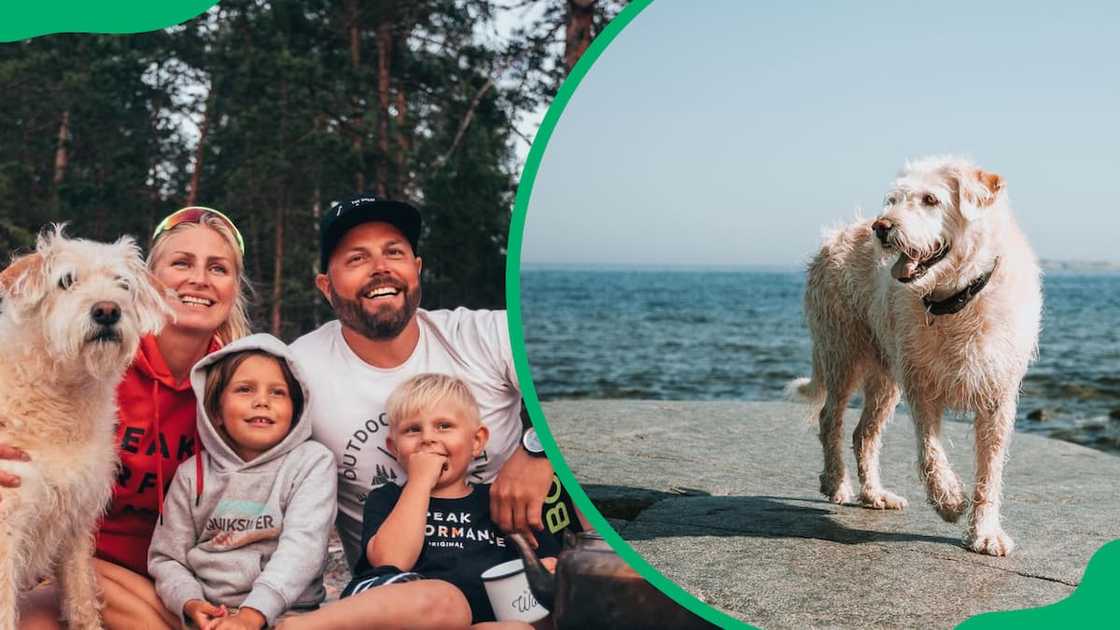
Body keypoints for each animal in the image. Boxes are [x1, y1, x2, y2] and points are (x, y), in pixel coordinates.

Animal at [0, 227, 170, 627]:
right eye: (66, 280)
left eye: (122, 283)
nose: (107, 311)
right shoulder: (7, 525)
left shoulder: (75, 522)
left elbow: (81, 597)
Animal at [788, 155, 1039, 553]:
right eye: (893, 200)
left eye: (930, 200)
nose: (880, 227)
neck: (955, 301)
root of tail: (834, 237)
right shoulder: (921, 387)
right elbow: (929, 451)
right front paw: (949, 499)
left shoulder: (997, 398)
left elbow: (990, 470)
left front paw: (985, 532)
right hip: (842, 353)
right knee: (830, 418)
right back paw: (837, 483)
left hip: (885, 376)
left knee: (864, 434)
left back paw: (875, 494)